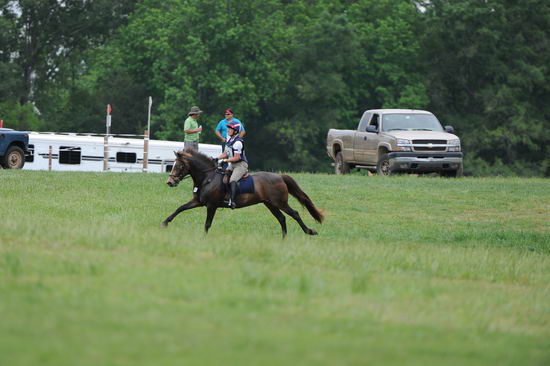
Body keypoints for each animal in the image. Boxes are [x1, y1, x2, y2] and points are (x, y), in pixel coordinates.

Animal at [162, 149, 326, 237]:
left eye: (180, 166)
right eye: (173, 165)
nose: (170, 182)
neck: (208, 177)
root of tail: (280, 176)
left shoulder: (211, 205)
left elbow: (207, 224)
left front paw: (204, 237)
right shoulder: (199, 202)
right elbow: (180, 208)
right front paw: (165, 222)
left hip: (280, 202)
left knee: (295, 214)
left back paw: (309, 231)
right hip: (270, 204)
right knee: (282, 218)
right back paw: (283, 239)